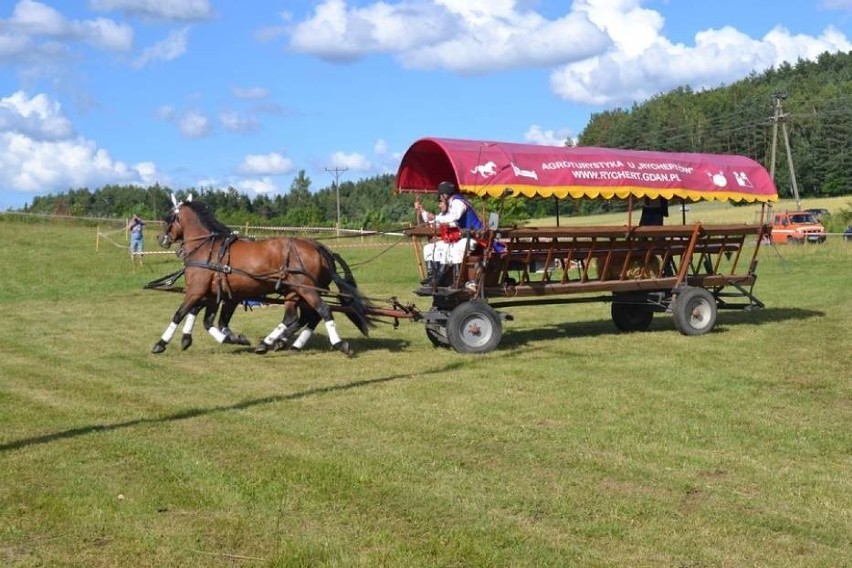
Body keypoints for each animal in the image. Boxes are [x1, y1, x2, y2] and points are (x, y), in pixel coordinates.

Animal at [153, 195, 372, 356]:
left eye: (168, 217)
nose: (160, 239)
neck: (207, 248)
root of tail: (317, 246)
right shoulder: (215, 293)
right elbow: (208, 320)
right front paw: (224, 338)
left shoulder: (196, 290)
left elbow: (180, 313)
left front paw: (161, 343)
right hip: (294, 291)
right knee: (297, 317)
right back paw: (275, 343)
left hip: (306, 289)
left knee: (322, 311)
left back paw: (338, 344)